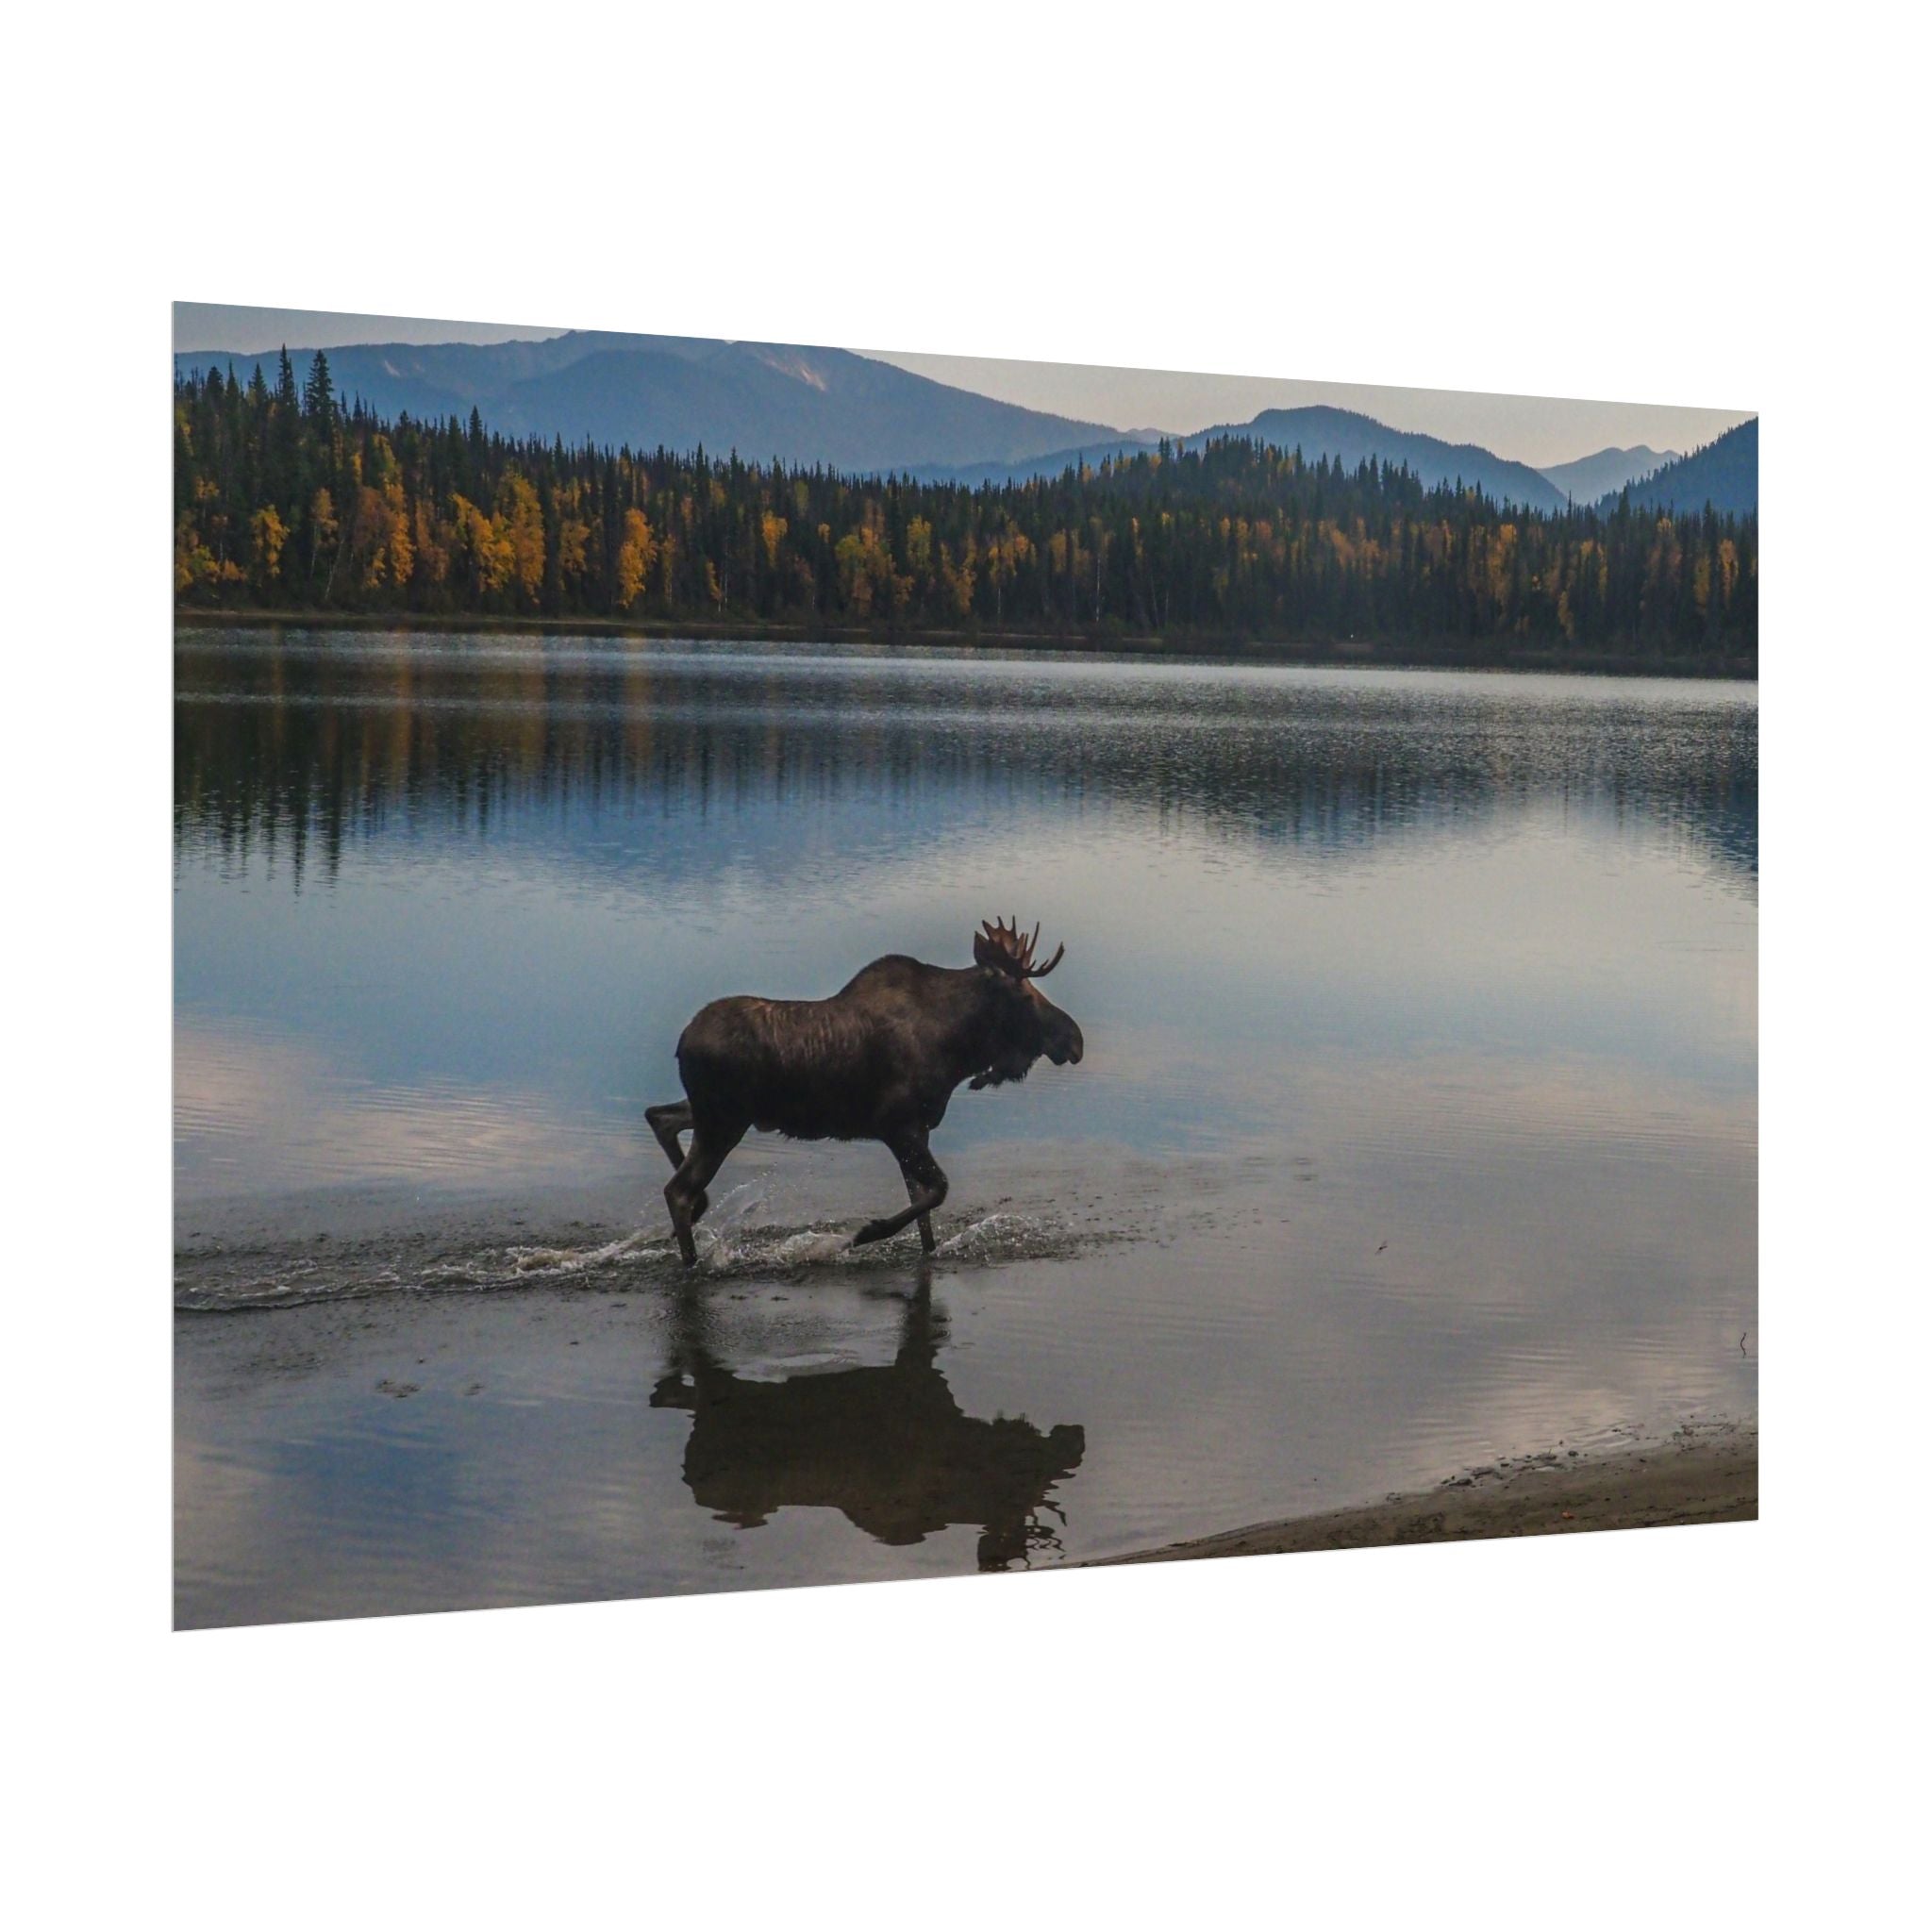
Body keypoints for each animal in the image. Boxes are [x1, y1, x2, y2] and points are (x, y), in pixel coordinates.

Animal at [646, 918, 1084, 1266]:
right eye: (1025, 995)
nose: (1075, 1040)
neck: (957, 1049)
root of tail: (682, 1043)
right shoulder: (897, 1125)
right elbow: (937, 1191)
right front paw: (864, 1233)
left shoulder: (918, 1131)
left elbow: (924, 1211)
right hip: (723, 1122)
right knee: (677, 1189)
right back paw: (692, 1259)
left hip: (717, 1114)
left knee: (660, 1117)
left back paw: (699, 1212)